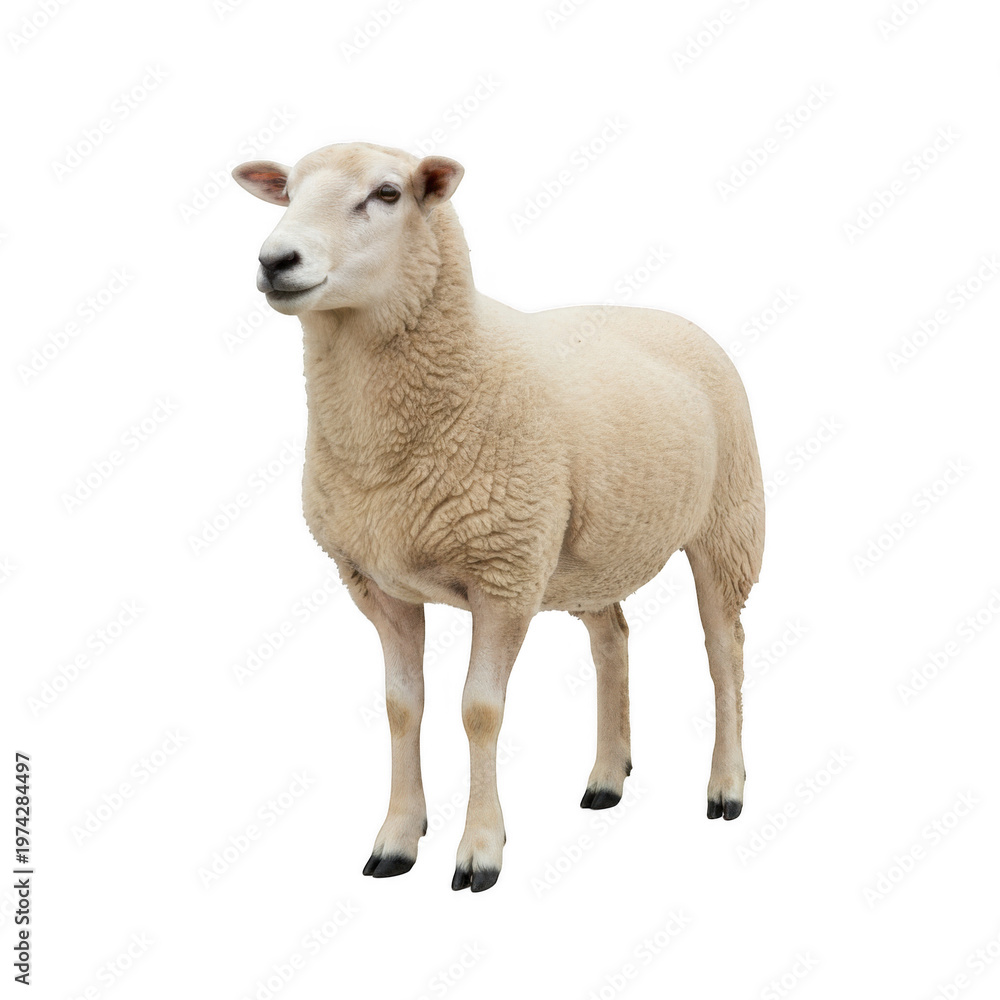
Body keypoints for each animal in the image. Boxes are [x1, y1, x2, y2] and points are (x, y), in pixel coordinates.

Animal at [232, 142, 765, 893]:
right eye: (289, 193)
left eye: (387, 193)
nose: (277, 260)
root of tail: (668, 315)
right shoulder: (378, 584)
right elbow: (402, 708)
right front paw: (398, 839)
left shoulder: (503, 576)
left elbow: (479, 710)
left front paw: (480, 849)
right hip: (585, 556)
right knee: (613, 641)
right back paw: (607, 777)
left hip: (729, 526)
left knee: (725, 654)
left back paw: (727, 787)